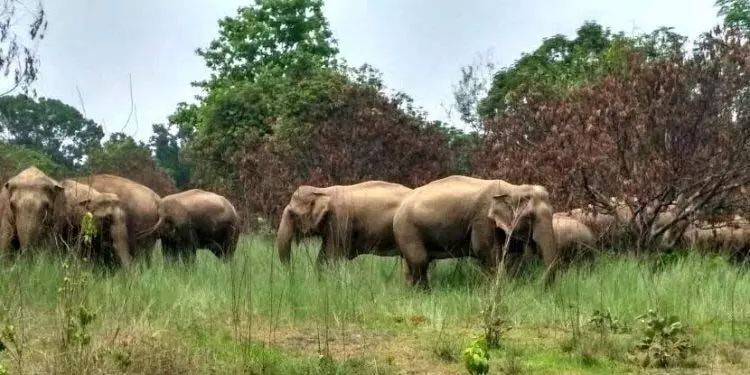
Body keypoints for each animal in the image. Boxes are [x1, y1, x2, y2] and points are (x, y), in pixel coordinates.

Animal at [276, 181, 414, 264]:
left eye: (292, 214)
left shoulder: (340, 220)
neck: (323, 191)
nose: (291, 270)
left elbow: (331, 256)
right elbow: (323, 256)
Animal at [394, 175, 560, 290]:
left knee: (416, 262)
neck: (512, 189)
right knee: (420, 260)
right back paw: (423, 292)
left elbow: (512, 255)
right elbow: (488, 252)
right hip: (407, 228)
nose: (538, 286)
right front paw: (492, 290)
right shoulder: (482, 218)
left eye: (553, 212)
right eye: (530, 217)